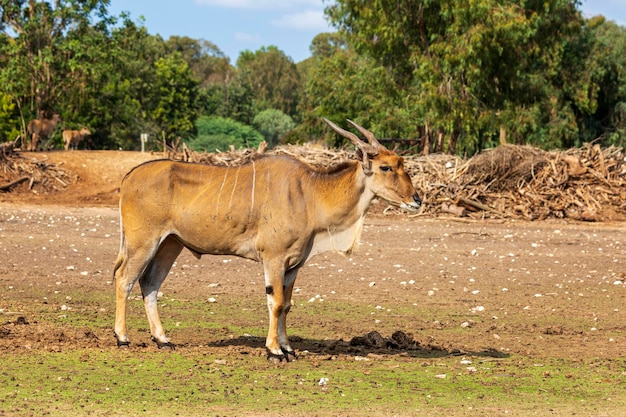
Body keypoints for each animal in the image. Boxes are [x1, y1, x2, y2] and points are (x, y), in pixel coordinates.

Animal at [114, 118, 422, 360]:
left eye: (401, 164)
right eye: (386, 167)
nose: (416, 200)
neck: (310, 193)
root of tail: (128, 177)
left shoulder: (293, 265)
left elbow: (287, 304)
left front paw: (289, 349)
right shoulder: (273, 259)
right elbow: (275, 302)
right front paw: (274, 351)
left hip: (170, 244)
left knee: (149, 283)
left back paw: (162, 340)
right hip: (143, 242)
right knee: (124, 279)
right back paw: (122, 338)